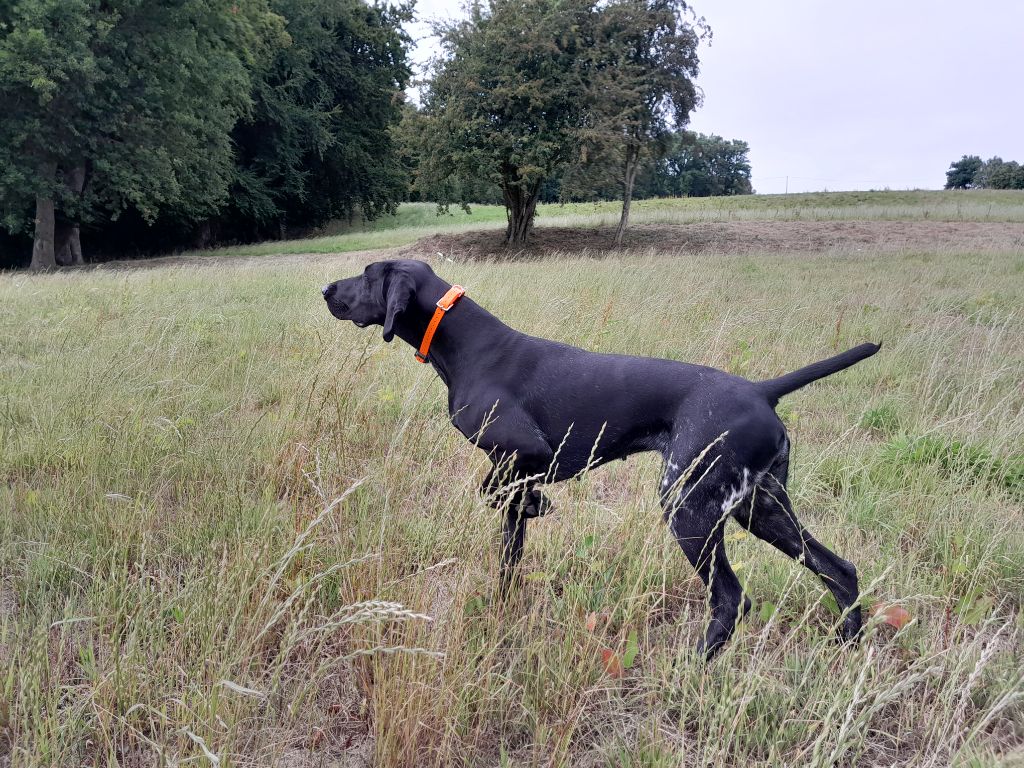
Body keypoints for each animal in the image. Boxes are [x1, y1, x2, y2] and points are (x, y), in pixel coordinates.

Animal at [321, 262, 880, 659]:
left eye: (368, 274)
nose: (326, 289)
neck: (465, 345)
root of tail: (763, 391)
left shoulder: (527, 454)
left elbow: (495, 491)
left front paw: (538, 505)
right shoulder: (519, 468)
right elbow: (509, 550)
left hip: (689, 506)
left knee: (730, 597)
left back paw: (691, 665)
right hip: (759, 507)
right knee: (840, 570)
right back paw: (844, 646)